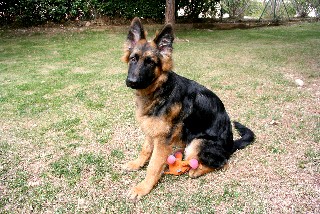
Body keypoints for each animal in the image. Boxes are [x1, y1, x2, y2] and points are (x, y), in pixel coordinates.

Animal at [121, 17, 254, 200]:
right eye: (133, 59)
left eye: (150, 62)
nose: (131, 81)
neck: (161, 90)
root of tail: (230, 144)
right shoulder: (151, 130)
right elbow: (145, 149)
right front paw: (137, 164)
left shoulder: (162, 140)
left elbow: (154, 165)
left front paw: (143, 187)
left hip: (196, 143)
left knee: (224, 163)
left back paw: (196, 170)